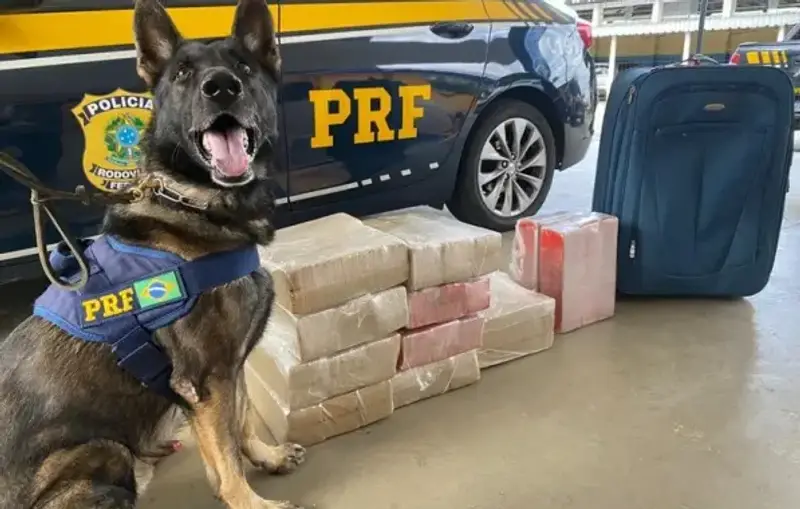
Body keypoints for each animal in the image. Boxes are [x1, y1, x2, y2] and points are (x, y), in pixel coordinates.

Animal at [0, 1, 307, 508]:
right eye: (182, 72)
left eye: (244, 66)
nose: (222, 87)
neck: (194, 203)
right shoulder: (206, 380)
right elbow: (226, 455)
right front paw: (249, 501)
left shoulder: (228, 369)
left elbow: (242, 423)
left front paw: (267, 457)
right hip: (104, 450)